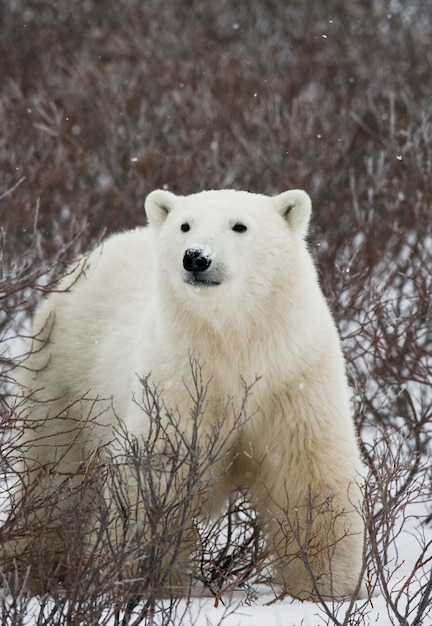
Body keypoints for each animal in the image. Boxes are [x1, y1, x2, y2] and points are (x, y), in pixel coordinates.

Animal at [7, 188, 364, 596]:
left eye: (239, 226)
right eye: (185, 225)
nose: (196, 257)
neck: (235, 345)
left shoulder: (294, 377)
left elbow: (308, 476)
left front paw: (327, 588)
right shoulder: (177, 381)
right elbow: (153, 476)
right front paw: (131, 581)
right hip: (63, 374)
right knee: (53, 473)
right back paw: (30, 567)